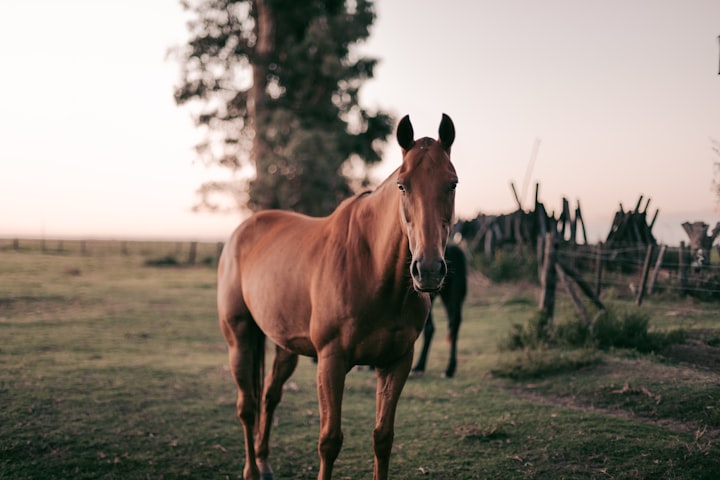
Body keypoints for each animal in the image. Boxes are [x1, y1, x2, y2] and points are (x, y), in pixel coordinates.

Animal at [217, 114, 458, 478]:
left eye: (452, 184)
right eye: (403, 185)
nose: (428, 270)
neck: (372, 268)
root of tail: (243, 230)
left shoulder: (396, 362)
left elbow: (383, 437)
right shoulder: (331, 362)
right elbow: (329, 440)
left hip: (285, 346)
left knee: (269, 397)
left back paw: (264, 461)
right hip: (240, 339)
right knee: (247, 407)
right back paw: (251, 470)